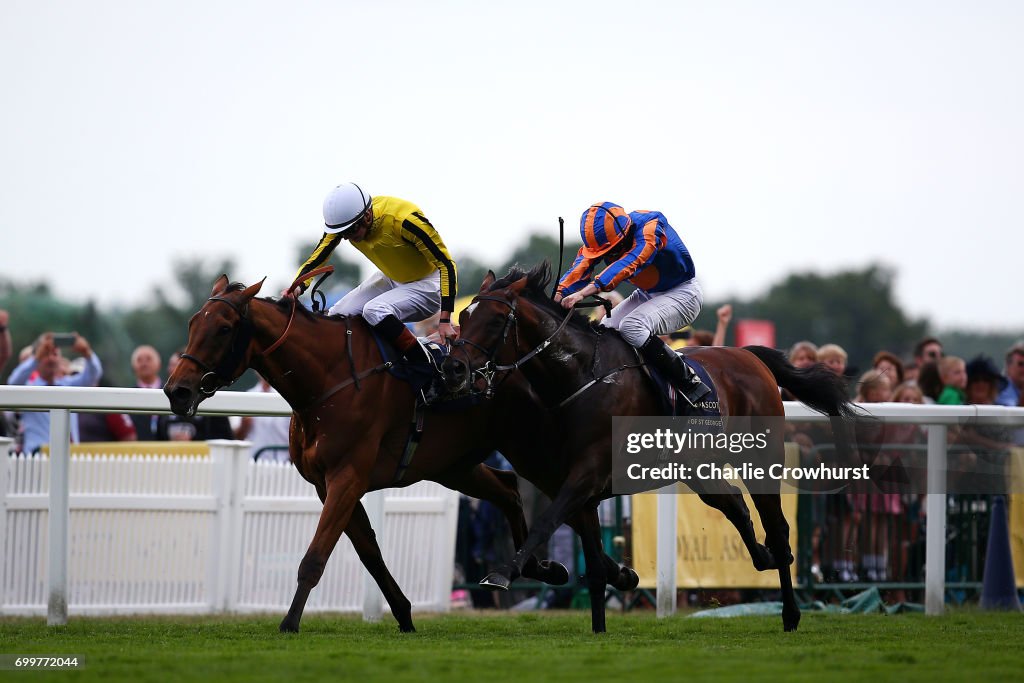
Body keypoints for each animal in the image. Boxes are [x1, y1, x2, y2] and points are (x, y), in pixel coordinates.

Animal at [163, 274, 573, 634]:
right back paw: (539, 568)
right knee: (508, 489)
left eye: (223, 328)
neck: (329, 379)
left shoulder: (347, 476)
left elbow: (316, 555)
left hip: (535, 450)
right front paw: (404, 614)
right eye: (192, 323)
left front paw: (289, 623)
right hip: (453, 466)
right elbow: (370, 553)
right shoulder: (326, 484)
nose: (176, 391)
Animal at [444, 264, 860, 634]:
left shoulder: (587, 474)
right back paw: (763, 559)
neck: (581, 376)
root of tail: (751, 356)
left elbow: (547, 522)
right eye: (462, 317)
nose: (453, 369)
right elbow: (593, 561)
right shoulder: (574, 483)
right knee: (736, 507)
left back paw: (790, 612)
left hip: (759, 460)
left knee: (777, 528)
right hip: (699, 469)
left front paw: (502, 573)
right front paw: (606, 607)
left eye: (496, 320)